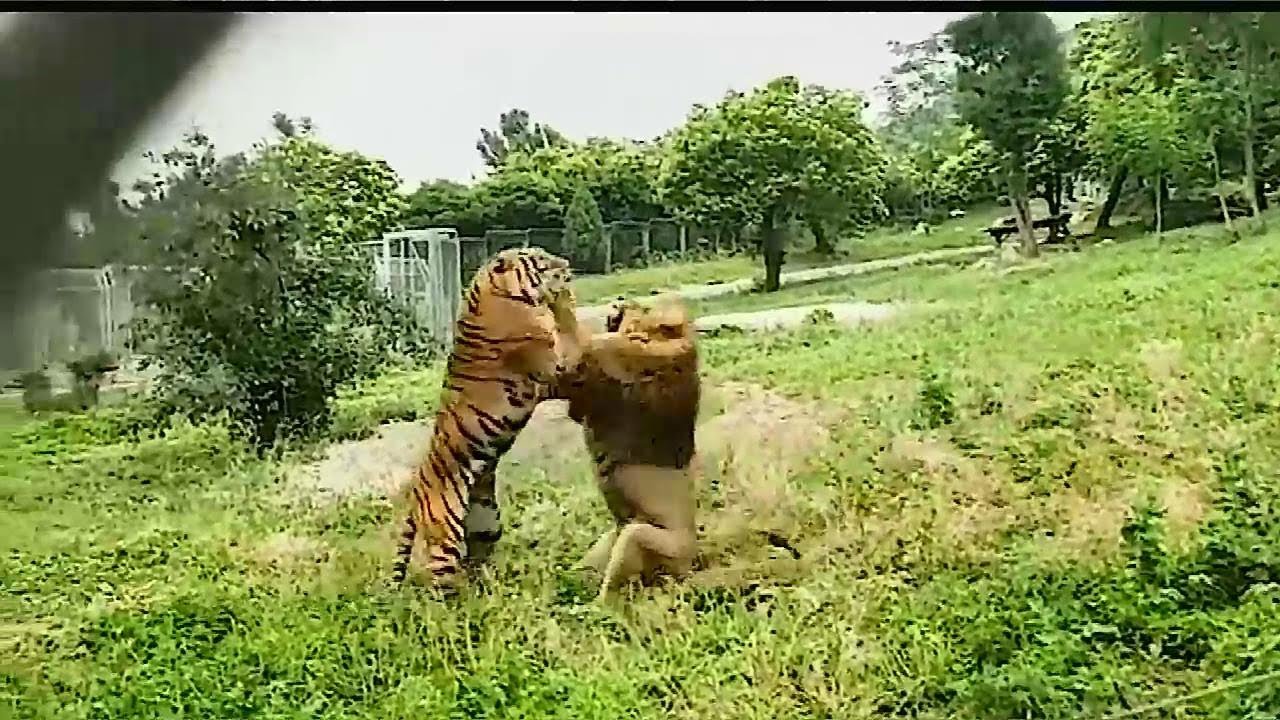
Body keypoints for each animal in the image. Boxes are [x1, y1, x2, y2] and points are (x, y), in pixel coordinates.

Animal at [392, 246, 584, 590]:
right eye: (542, 263)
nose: (567, 266)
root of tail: (414, 494)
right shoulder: (555, 367)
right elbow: (569, 323)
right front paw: (563, 295)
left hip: (486, 524)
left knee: (475, 562)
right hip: (446, 536)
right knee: (437, 586)